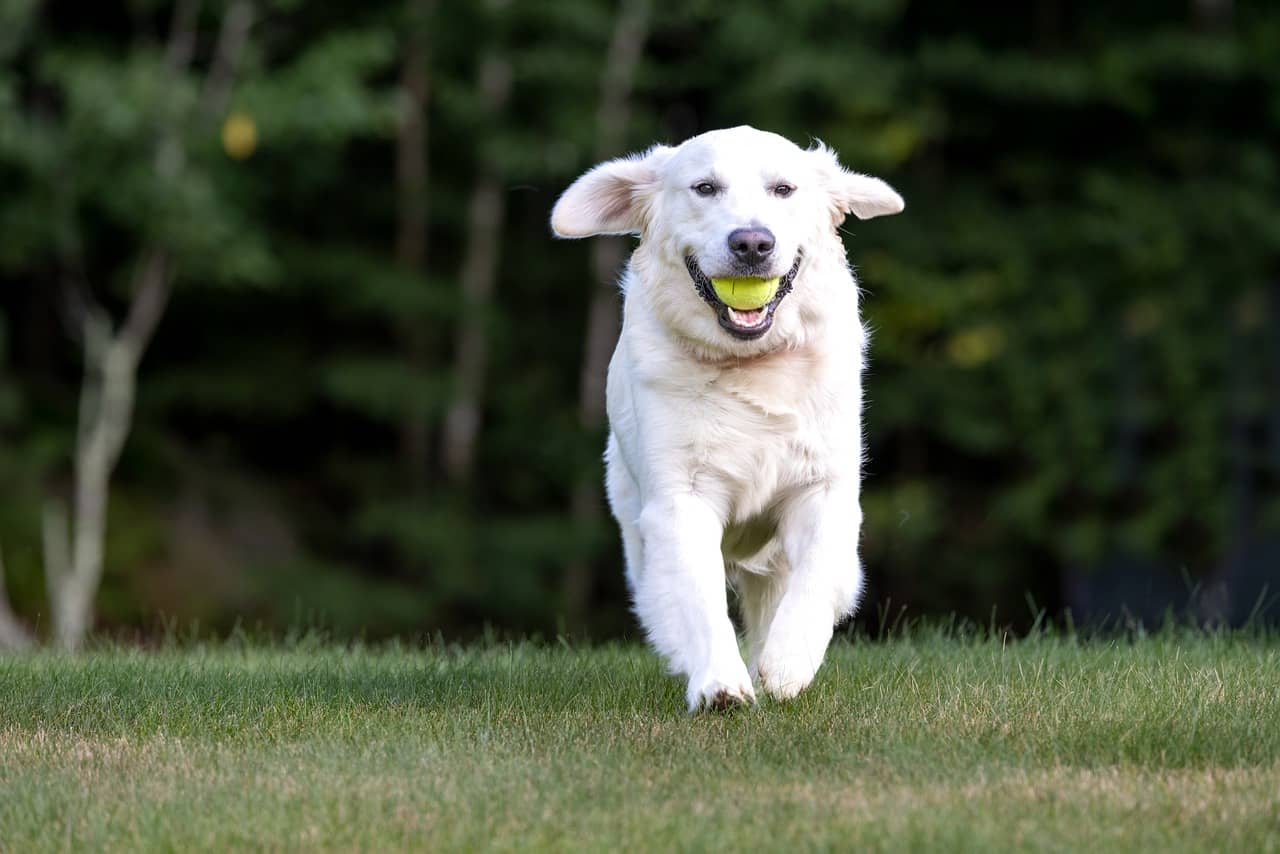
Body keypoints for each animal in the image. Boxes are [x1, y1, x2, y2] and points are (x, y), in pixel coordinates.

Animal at [550, 123, 901, 711]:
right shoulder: (679, 500)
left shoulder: (823, 489)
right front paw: (719, 683)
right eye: (705, 188)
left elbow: (815, 577)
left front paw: (786, 663)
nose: (752, 243)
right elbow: (698, 597)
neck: (751, 363)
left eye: (783, 189)